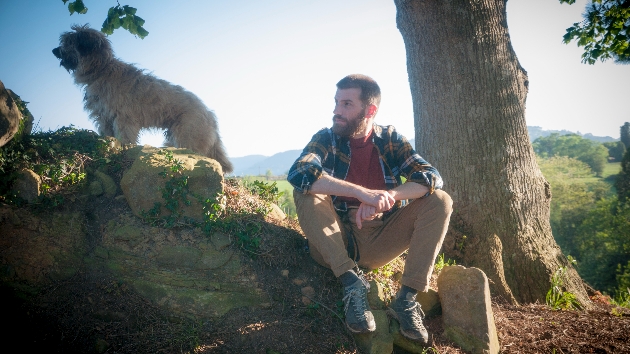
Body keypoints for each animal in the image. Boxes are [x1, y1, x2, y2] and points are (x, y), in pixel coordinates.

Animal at [52, 24, 235, 174]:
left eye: (68, 42)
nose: (53, 50)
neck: (102, 69)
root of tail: (210, 114)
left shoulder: (124, 119)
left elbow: (125, 137)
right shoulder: (104, 117)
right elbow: (107, 133)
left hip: (188, 135)